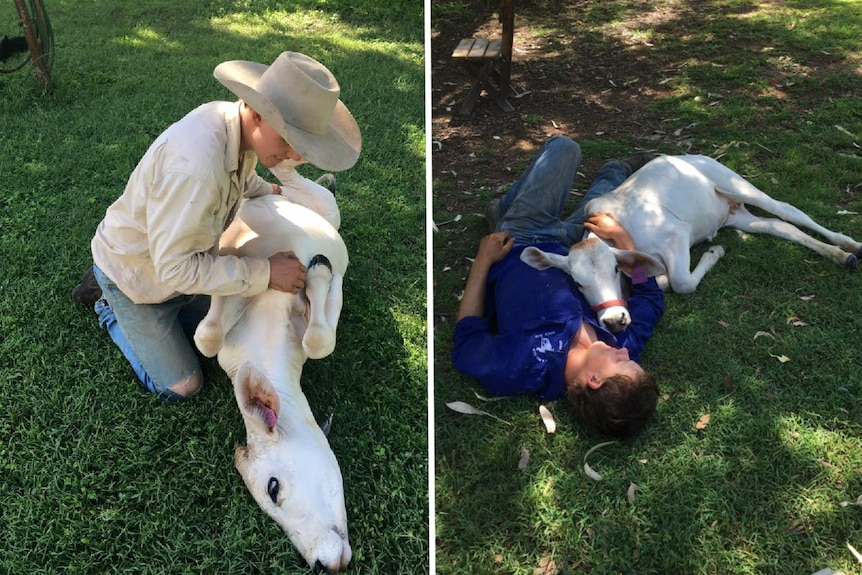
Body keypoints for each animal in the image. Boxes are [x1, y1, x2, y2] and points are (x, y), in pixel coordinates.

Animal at [520, 153, 862, 332]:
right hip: (737, 215)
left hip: (736, 184)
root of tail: (692, 156)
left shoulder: (677, 234)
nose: (615, 320)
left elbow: (681, 282)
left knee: (788, 210)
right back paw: (840, 255)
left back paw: (849, 244)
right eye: (578, 283)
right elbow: (661, 281)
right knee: (780, 227)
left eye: (615, 270)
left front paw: (715, 251)